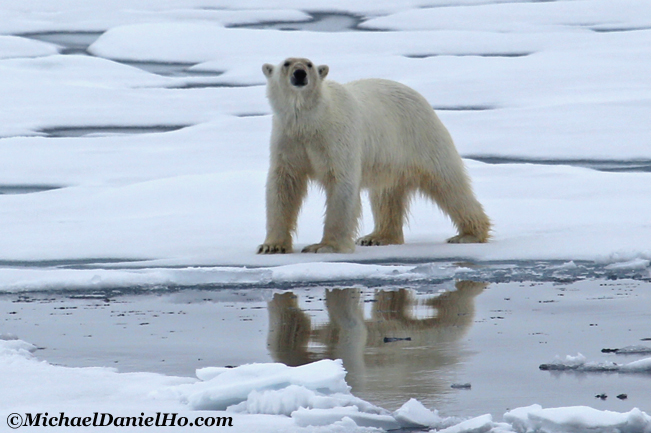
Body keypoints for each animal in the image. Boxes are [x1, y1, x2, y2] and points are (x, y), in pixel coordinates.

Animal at [258, 57, 492, 253]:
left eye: (309, 64)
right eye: (287, 63)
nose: (299, 74)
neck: (311, 122)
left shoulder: (337, 138)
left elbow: (341, 184)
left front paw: (324, 246)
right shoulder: (288, 141)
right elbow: (284, 186)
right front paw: (272, 246)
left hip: (421, 137)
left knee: (448, 184)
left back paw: (468, 234)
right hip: (391, 158)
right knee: (386, 194)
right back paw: (377, 237)